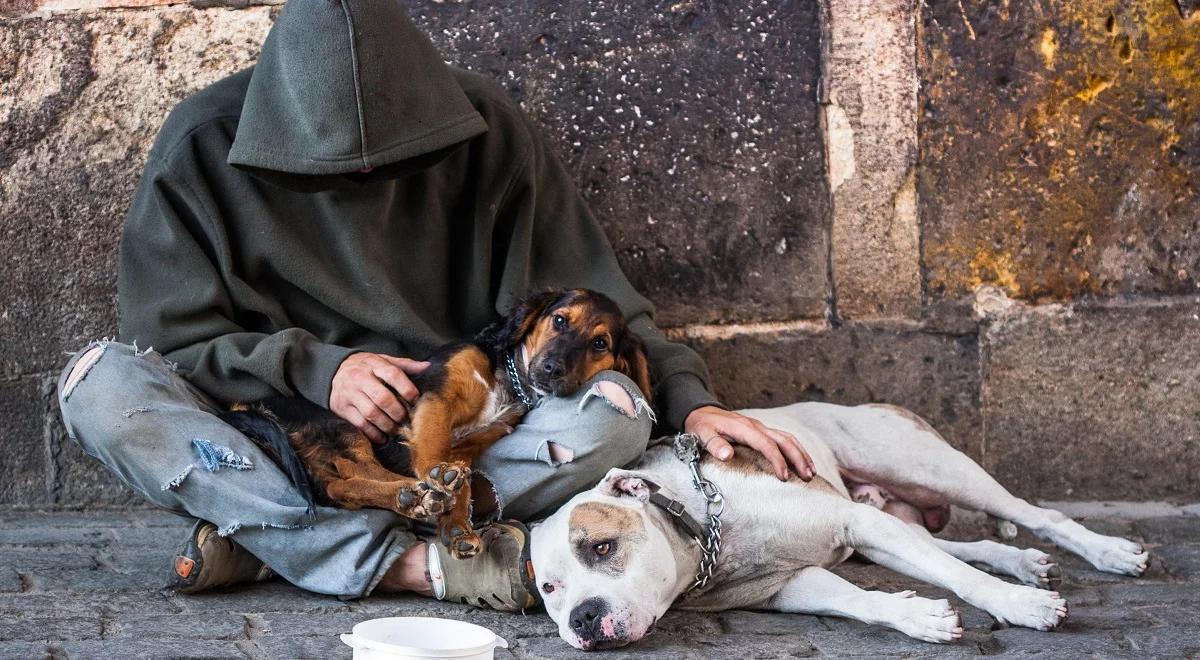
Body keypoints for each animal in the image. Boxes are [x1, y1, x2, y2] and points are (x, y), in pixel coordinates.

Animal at [227, 288, 651, 559]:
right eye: (559, 321)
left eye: (599, 344)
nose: (552, 369)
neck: (509, 381)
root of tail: (244, 405)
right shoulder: (435, 398)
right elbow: (432, 448)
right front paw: (438, 480)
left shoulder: (474, 441)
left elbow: (460, 479)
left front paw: (457, 527)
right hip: (342, 424)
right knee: (355, 470)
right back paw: (414, 494)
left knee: (340, 486)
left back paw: (414, 498)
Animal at [532, 402, 1149, 650]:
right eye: (550, 589)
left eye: (603, 547)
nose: (582, 618)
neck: (702, 530)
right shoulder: (788, 586)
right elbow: (856, 600)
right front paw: (916, 616)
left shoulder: (853, 521)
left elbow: (962, 579)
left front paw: (1019, 606)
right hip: (890, 522)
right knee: (960, 546)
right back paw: (1021, 563)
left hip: (934, 471)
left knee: (1034, 514)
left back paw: (1110, 553)